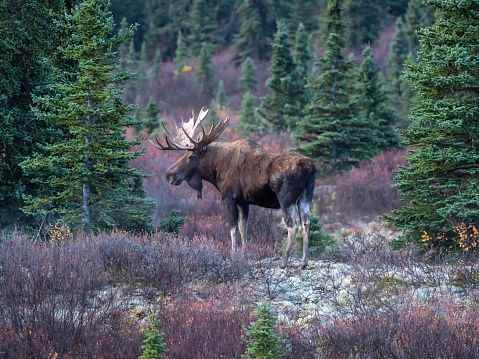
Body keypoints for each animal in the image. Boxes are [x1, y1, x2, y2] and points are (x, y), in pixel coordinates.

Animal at [149, 108, 316, 268]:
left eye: (190, 156)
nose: (169, 174)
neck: (216, 170)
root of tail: (309, 167)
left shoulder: (229, 198)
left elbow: (233, 228)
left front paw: (233, 254)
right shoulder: (244, 201)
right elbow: (243, 228)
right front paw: (244, 253)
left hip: (286, 199)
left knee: (293, 225)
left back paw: (285, 260)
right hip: (305, 197)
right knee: (306, 223)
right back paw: (304, 261)